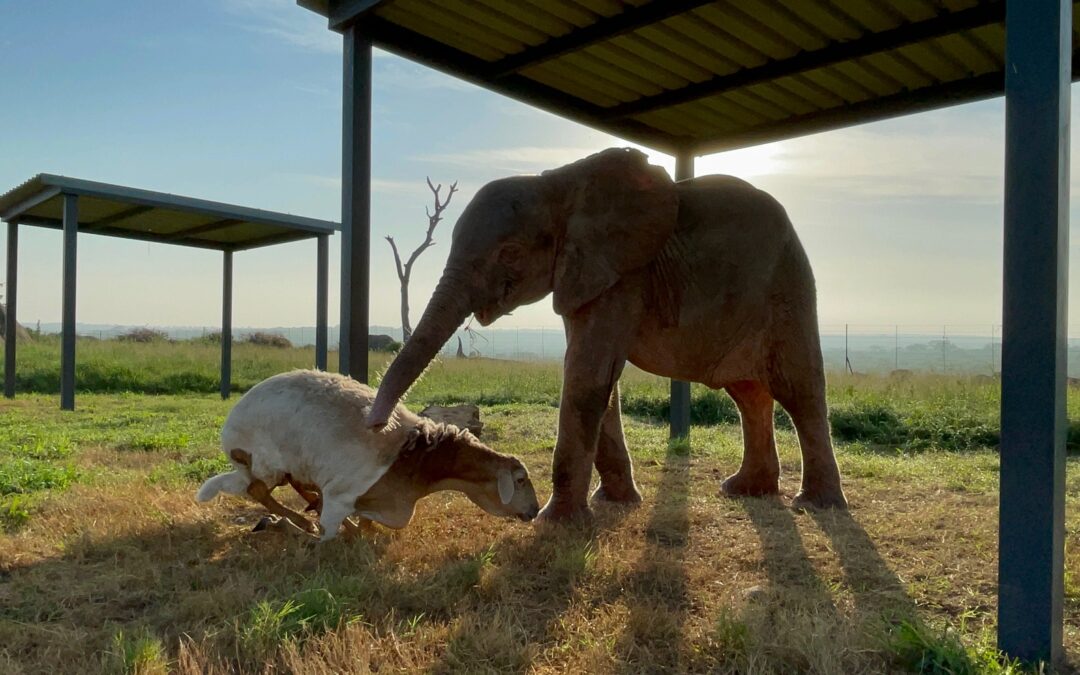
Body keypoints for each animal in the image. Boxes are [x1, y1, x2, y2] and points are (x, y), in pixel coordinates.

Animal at [366, 147, 847, 522]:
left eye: (511, 252)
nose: (377, 425)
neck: (558, 182)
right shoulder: (585, 274)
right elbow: (602, 380)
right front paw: (616, 503)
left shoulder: (623, 273)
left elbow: (586, 374)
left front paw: (555, 523)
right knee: (748, 394)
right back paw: (745, 490)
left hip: (787, 287)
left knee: (798, 389)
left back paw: (816, 505)